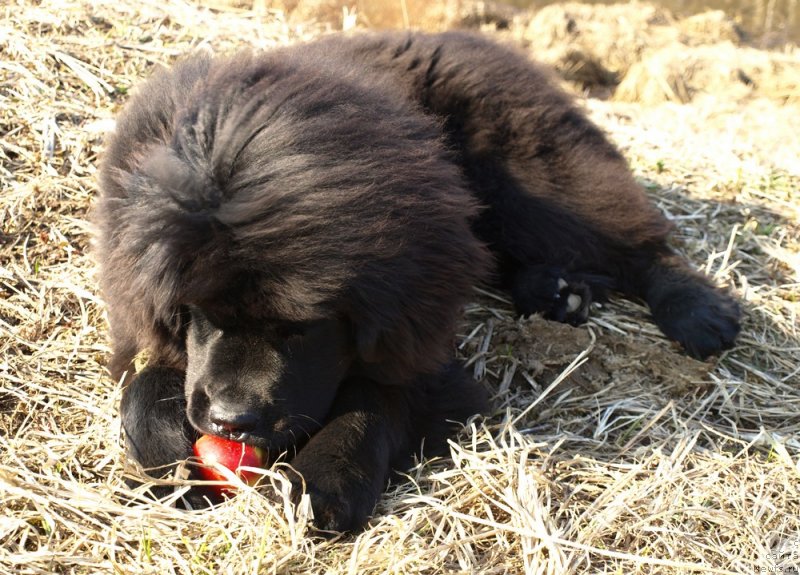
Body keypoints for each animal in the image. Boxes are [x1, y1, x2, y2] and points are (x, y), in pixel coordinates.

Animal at [92, 31, 736, 532]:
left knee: (637, 243)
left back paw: (697, 312)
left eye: (302, 327)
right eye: (197, 313)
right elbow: (145, 382)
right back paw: (559, 290)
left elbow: (373, 400)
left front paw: (322, 482)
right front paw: (168, 456)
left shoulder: (415, 338)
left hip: (538, 186)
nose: (230, 421)